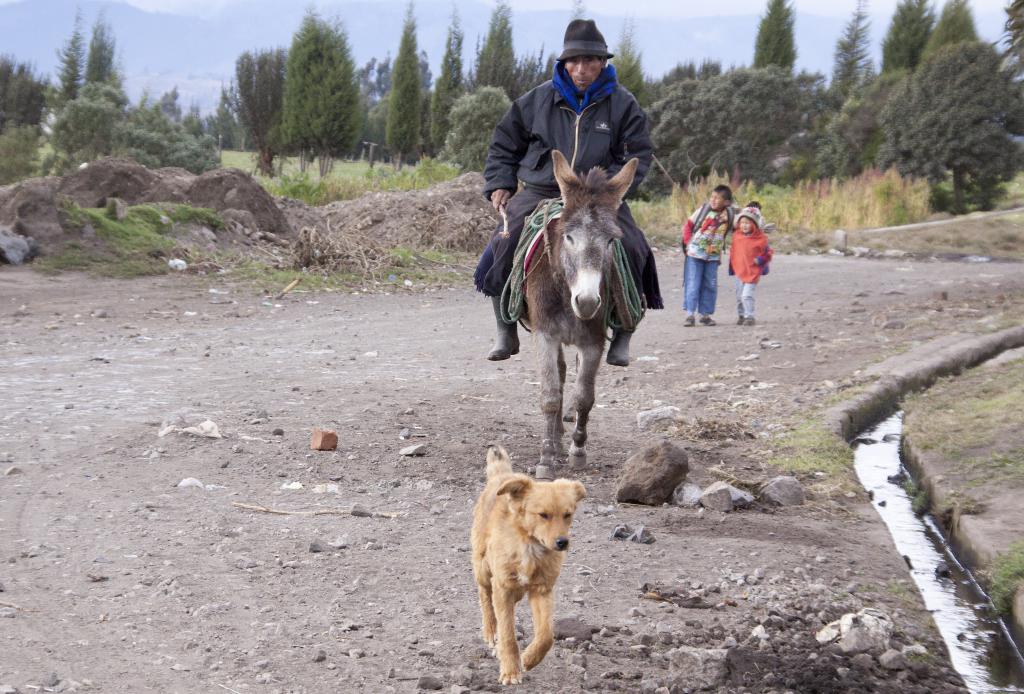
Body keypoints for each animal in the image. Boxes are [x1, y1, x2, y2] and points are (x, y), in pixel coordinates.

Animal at [468, 448, 585, 687]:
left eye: (568, 514)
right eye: (543, 515)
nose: (562, 542)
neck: (530, 548)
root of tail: (502, 476)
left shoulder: (542, 590)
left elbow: (546, 636)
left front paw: (529, 659)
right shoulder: (503, 587)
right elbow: (508, 634)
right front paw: (511, 670)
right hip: (483, 567)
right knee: (486, 597)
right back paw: (490, 632)